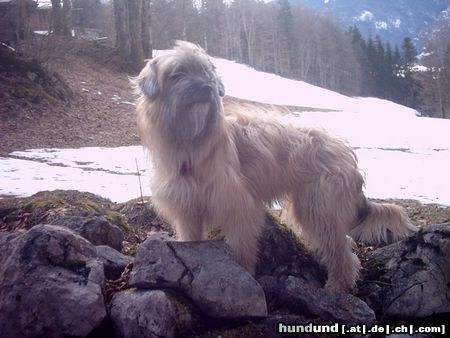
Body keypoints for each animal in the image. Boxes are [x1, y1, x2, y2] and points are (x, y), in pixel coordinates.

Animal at [133, 41, 414, 290]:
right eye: (177, 74)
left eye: (205, 71)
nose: (207, 87)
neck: (192, 142)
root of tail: (346, 153)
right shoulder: (188, 209)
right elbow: (192, 236)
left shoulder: (238, 207)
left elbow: (243, 246)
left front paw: (244, 274)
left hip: (319, 207)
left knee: (342, 251)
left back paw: (336, 288)